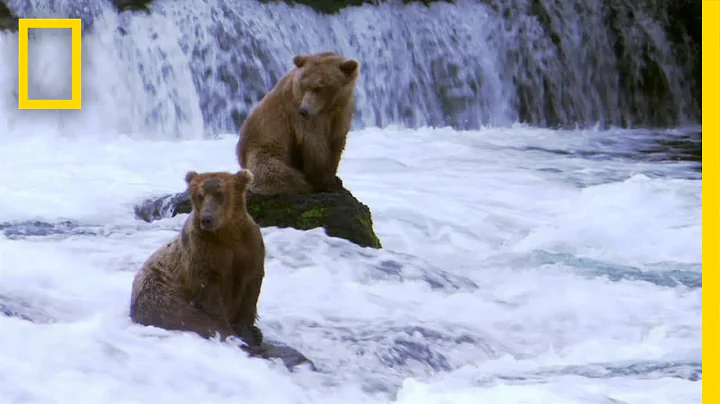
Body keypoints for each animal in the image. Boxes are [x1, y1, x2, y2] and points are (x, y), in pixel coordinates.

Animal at [129, 169, 265, 348]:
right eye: (200, 195)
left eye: (220, 193)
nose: (207, 218)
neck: (226, 235)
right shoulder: (201, 252)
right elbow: (208, 293)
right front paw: (229, 332)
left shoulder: (249, 249)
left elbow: (251, 287)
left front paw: (249, 331)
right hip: (159, 292)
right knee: (181, 313)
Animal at [236, 51, 360, 196]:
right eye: (304, 86)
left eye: (319, 88)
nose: (303, 110)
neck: (328, 107)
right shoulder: (302, 116)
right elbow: (315, 144)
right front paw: (326, 182)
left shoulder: (342, 111)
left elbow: (337, 142)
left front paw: (336, 179)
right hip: (262, 151)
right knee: (277, 173)